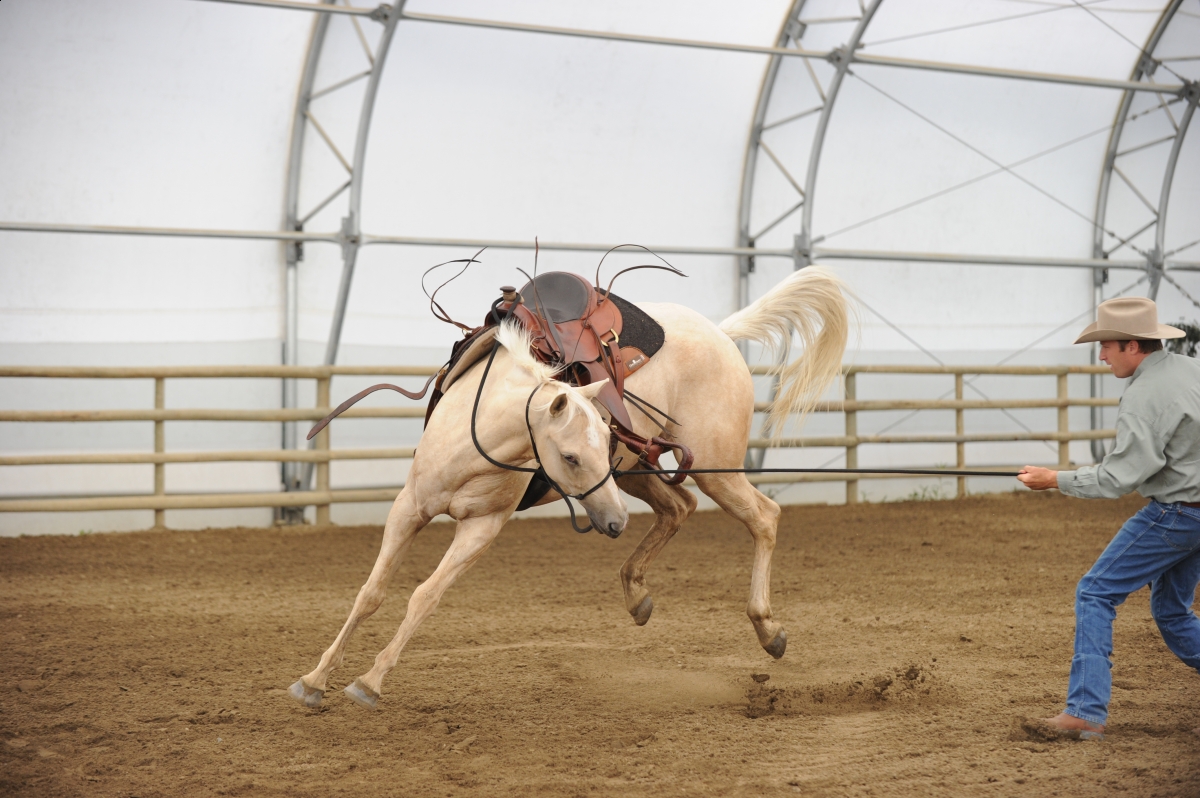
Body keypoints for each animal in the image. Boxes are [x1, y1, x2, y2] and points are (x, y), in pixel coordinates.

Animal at [289, 266, 851, 709]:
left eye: (600, 438)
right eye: (572, 455)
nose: (615, 523)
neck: (475, 437)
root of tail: (721, 332)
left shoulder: (482, 527)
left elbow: (424, 596)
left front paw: (370, 681)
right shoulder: (409, 507)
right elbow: (372, 592)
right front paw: (314, 680)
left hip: (710, 466)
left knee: (763, 516)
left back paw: (768, 629)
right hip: (637, 472)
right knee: (680, 506)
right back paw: (636, 593)